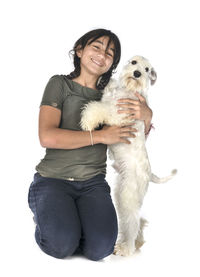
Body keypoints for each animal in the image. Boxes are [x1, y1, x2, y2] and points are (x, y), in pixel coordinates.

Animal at [79, 55, 177, 256]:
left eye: (147, 69)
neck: (128, 89)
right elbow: (104, 97)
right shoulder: (111, 98)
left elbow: (99, 107)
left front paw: (87, 121)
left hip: (128, 196)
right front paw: (107, 81)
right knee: (135, 222)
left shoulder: (118, 113)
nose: (138, 73)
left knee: (132, 222)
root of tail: (149, 173)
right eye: (133, 62)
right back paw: (135, 242)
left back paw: (126, 248)